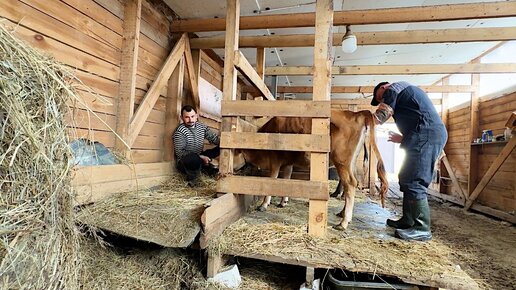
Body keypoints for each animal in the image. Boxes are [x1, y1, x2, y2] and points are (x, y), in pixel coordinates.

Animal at [238, 110, 388, 230]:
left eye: (243, 166)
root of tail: (358, 113)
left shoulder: (275, 159)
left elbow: (273, 180)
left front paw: (264, 204)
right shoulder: (288, 163)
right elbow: (286, 179)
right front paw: (283, 202)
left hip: (341, 160)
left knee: (350, 184)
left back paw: (343, 222)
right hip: (350, 162)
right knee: (352, 184)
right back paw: (342, 213)